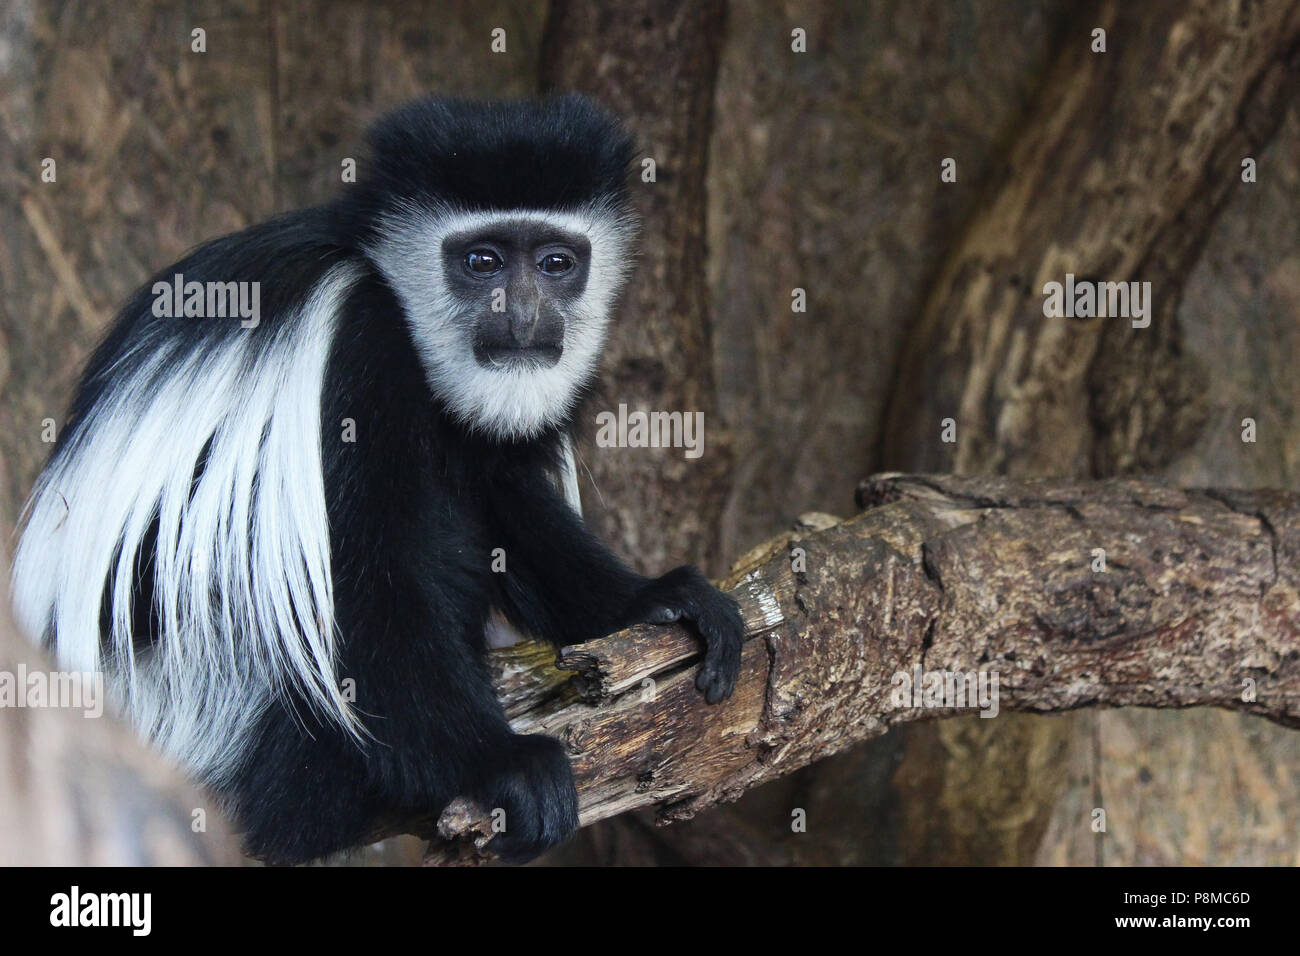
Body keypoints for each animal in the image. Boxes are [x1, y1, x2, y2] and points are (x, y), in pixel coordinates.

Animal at [10, 95, 744, 864]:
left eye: (556, 262)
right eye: (481, 261)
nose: (521, 315)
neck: (386, 282)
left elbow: (507, 505)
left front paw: (658, 599)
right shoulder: (353, 346)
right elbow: (366, 589)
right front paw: (505, 765)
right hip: (195, 709)